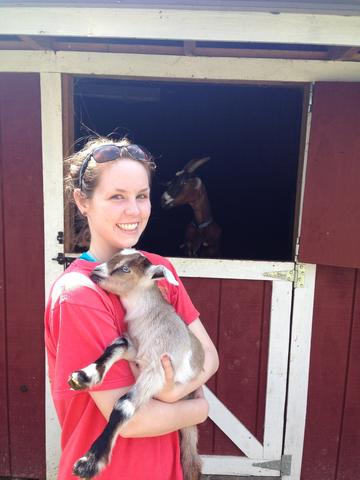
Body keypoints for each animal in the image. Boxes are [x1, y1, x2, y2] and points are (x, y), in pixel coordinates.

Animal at [67, 249, 204, 478]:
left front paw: (90, 462)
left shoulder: (156, 370)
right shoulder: (135, 350)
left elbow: (124, 404)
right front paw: (84, 377)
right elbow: (117, 345)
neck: (151, 320)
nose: (96, 271)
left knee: (192, 459)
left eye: (125, 269)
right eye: (114, 257)